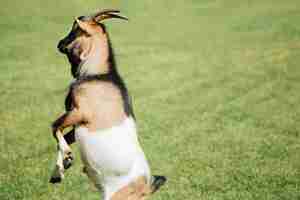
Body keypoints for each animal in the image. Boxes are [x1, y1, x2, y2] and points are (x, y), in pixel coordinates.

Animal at [49, 9, 166, 200]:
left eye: (75, 29)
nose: (59, 43)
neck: (99, 74)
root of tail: (146, 187)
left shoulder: (80, 112)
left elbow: (54, 126)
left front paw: (67, 157)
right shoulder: (77, 123)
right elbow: (62, 136)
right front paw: (59, 171)